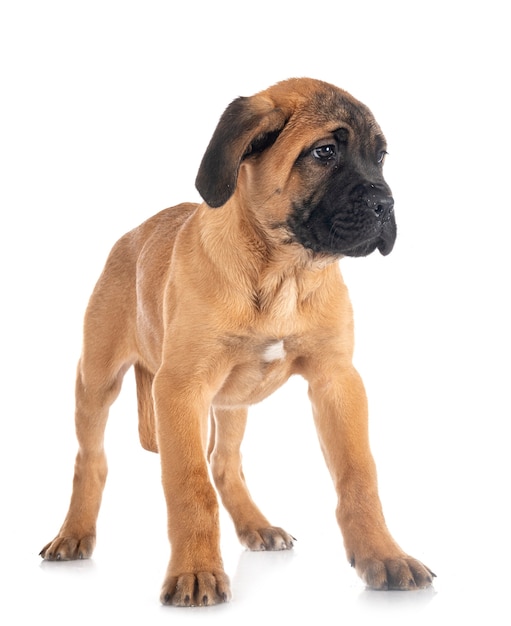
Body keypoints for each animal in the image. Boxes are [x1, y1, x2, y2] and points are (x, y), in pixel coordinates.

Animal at [41, 75, 436, 604]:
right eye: (325, 151)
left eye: (381, 157)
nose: (386, 205)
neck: (283, 272)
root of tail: (133, 233)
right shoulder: (180, 389)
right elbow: (189, 485)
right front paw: (196, 571)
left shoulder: (337, 381)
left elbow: (359, 474)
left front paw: (384, 555)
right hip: (97, 379)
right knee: (92, 460)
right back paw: (73, 534)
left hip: (231, 403)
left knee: (224, 461)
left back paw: (256, 525)